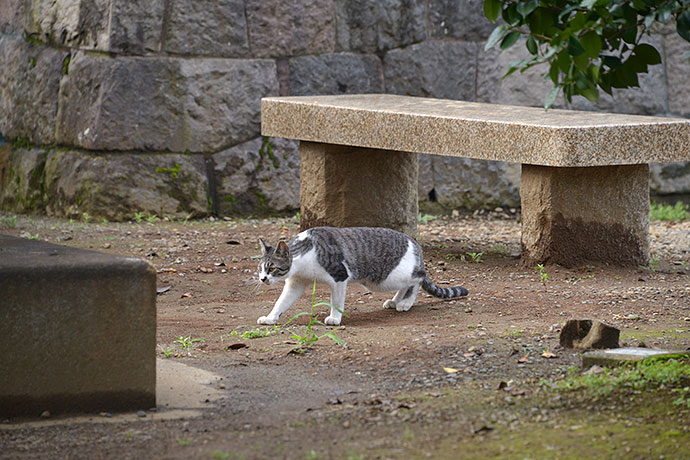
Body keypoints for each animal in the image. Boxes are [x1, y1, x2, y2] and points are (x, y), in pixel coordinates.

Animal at [254, 226, 468, 328]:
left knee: (418, 278)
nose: (263, 279)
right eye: (260, 268)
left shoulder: (339, 276)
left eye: (272, 268)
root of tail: (415, 243)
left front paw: (335, 318)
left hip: (388, 277)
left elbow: (336, 301)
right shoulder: (296, 283)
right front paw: (271, 318)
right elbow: (281, 302)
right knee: (407, 284)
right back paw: (396, 301)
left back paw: (406, 303)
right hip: (384, 280)